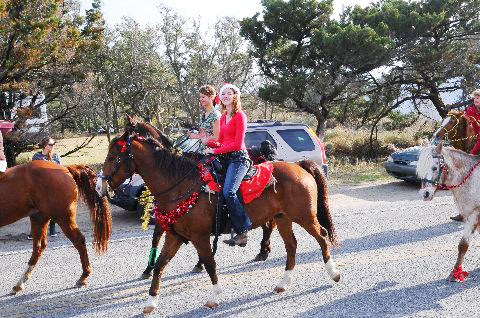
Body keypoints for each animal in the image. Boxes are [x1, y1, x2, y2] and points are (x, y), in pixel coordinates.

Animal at [0, 161, 110, 296]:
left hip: (62, 218)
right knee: (38, 247)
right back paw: (19, 283)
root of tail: (65, 169)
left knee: (79, 241)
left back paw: (84, 276)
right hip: (39, 218)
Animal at [101, 118, 342, 314]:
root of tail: (299, 165)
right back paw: (283, 282)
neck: (180, 183)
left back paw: (333, 274)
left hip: (305, 217)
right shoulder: (175, 235)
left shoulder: (199, 236)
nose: (101, 185)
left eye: (113, 156)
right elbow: (161, 264)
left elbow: (209, 263)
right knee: (291, 245)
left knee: (322, 237)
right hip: (283, 218)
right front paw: (150, 302)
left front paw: (214, 296)